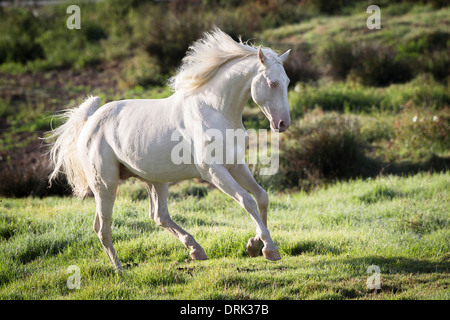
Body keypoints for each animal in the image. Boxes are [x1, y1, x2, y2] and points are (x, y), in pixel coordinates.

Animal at [47, 28, 290, 272]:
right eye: (272, 83)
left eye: (287, 81)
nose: (282, 124)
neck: (215, 109)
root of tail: (90, 121)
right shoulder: (213, 171)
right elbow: (246, 200)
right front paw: (270, 249)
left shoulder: (235, 164)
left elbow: (261, 196)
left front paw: (255, 245)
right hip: (105, 185)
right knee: (102, 227)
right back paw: (119, 269)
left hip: (155, 180)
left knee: (158, 215)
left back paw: (195, 249)